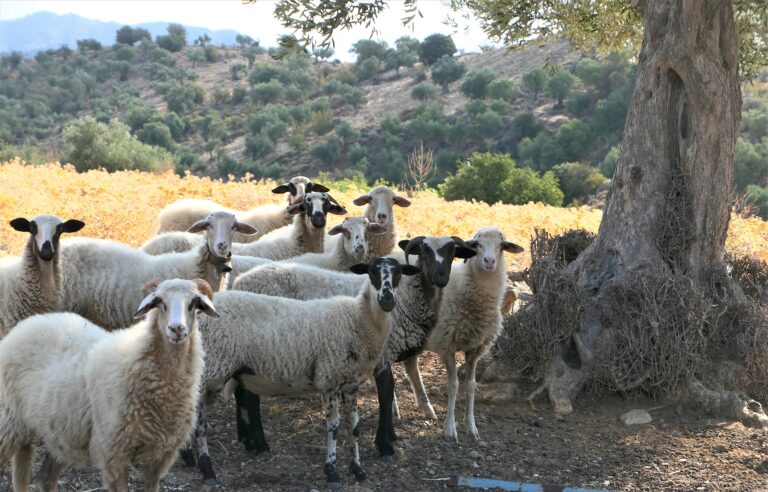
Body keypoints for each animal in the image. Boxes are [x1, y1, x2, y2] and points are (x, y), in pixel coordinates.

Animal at [0, 278, 219, 492]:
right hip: (9, 420)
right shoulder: (115, 454)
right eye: (160, 302)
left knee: (42, 479)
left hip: (61, 434)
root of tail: (30, 322)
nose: (176, 329)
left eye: (193, 304)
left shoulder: (160, 456)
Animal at [186, 257, 421, 488]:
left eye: (399, 273)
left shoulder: (350, 384)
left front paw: (359, 472)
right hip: (211, 369)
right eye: (371, 272)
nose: (387, 299)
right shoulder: (329, 380)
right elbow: (334, 427)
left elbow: (354, 427)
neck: (358, 318)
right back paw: (207, 471)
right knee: (198, 422)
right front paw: (332, 473)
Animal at [231, 236, 477, 460]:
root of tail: (240, 282)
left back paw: (246, 439)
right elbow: (386, 393)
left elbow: (389, 393)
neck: (407, 298)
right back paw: (260, 445)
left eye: (452, 251)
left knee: (240, 389)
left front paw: (391, 436)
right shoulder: (383, 353)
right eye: (424, 251)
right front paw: (385, 444)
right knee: (250, 395)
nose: (441, 277)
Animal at [411, 227, 524, 442]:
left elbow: (471, 385)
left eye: (501, 246)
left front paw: (471, 427)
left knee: (410, 365)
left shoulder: (476, 348)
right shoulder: (447, 345)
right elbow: (453, 385)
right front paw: (450, 429)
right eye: (477, 244)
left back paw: (427, 409)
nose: (490, 261)